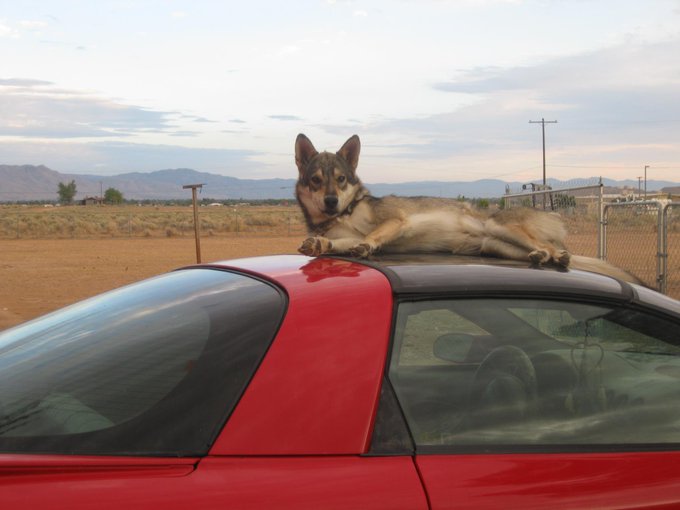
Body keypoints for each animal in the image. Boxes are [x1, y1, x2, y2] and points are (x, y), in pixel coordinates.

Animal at [294, 133, 641, 283]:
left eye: (341, 179)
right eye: (316, 180)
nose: (330, 201)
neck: (346, 212)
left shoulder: (395, 221)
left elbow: (370, 237)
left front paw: (364, 245)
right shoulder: (347, 234)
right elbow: (338, 243)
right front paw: (320, 243)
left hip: (501, 227)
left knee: (553, 249)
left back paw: (558, 256)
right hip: (498, 246)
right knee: (541, 251)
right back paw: (543, 258)